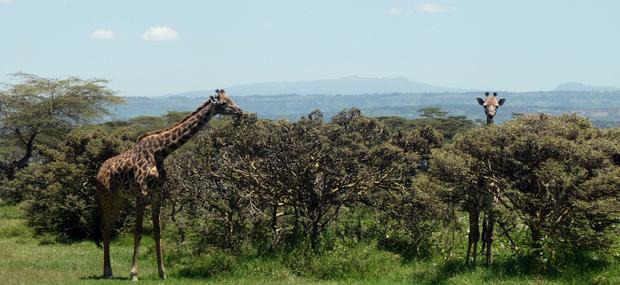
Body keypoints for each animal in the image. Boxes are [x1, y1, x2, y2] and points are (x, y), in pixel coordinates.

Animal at [95, 89, 243, 280]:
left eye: (230, 99)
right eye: (224, 103)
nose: (240, 112)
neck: (161, 151)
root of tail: (99, 172)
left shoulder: (158, 193)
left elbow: (157, 232)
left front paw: (162, 272)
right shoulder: (142, 193)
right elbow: (138, 231)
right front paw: (134, 273)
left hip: (120, 199)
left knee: (108, 227)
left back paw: (109, 271)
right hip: (106, 197)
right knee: (105, 229)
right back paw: (107, 272)